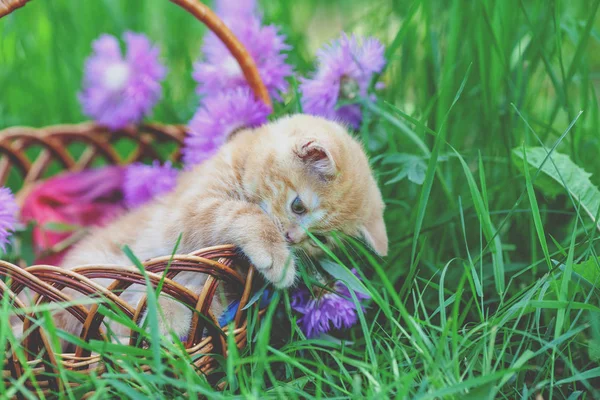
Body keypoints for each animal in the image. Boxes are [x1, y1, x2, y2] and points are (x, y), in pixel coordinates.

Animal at [58, 113, 386, 344]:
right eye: (298, 206)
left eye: (319, 239)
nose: (293, 237)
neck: (241, 163)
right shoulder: (187, 211)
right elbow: (241, 212)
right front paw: (277, 257)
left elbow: (207, 302)